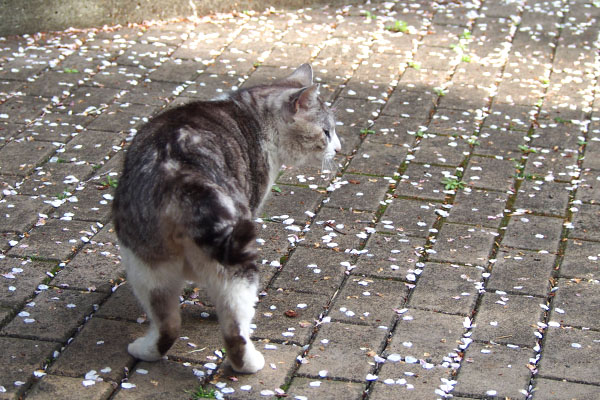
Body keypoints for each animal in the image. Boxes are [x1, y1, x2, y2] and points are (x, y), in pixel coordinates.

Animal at [110, 64, 340, 374]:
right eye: (326, 132)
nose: (339, 148)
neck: (252, 116)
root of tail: (183, 174)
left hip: (144, 263)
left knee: (168, 325)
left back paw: (144, 350)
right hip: (237, 260)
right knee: (235, 329)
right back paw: (250, 363)